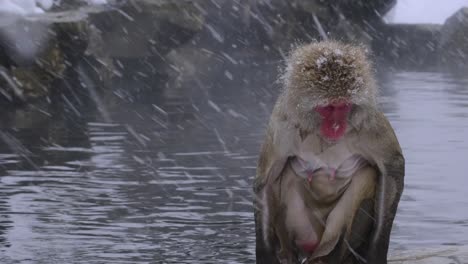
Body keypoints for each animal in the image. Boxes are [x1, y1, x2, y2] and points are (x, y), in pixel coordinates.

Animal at [254, 41, 404, 264]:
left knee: (367, 176)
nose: (336, 127)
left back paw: (332, 254)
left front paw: (375, 253)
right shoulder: (282, 125)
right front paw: (265, 255)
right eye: (327, 108)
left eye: (343, 107)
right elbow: (267, 179)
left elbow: (392, 167)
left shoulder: (369, 123)